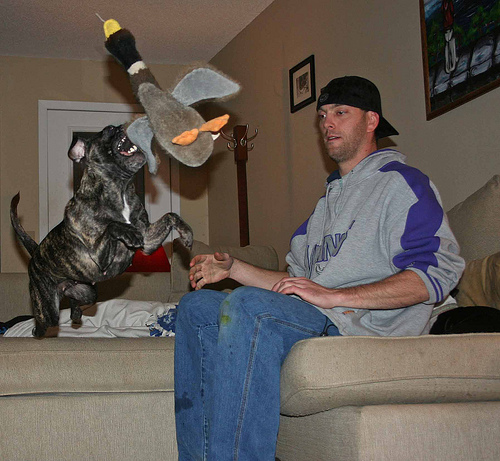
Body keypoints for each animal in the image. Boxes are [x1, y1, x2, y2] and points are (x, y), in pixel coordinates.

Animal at [11, 123, 193, 337]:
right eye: (109, 130)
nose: (124, 125)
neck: (119, 189)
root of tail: (36, 253)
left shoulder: (147, 241)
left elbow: (171, 215)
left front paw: (187, 234)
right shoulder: (98, 256)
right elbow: (112, 226)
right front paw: (127, 231)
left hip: (87, 292)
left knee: (74, 304)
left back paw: (76, 313)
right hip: (47, 310)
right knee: (41, 325)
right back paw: (36, 329)